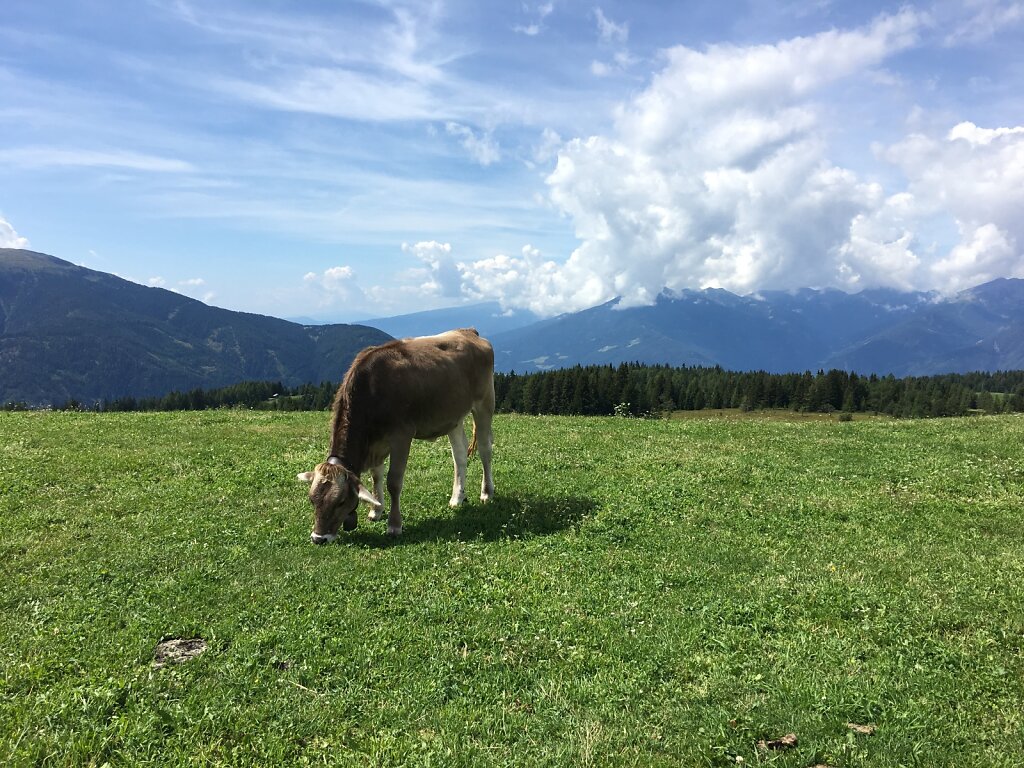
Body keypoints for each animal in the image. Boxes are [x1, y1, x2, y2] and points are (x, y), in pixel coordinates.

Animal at [299, 327, 493, 544]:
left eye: (340, 501)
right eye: (312, 499)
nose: (318, 538)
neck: (372, 390)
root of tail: (467, 331)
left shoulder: (401, 436)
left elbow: (393, 481)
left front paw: (394, 525)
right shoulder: (376, 443)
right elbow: (376, 475)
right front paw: (376, 510)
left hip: (485, 402)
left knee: (485, 449)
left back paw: (486, 493)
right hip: (453, 416)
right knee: (459, 455)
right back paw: (457, 497)